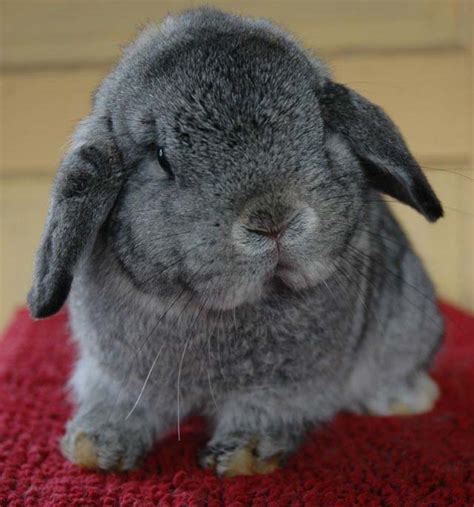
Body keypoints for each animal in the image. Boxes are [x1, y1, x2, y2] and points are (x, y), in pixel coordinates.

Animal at [29, 6, 444, 476]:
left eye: (321, 130)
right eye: (161, 157)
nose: (272, 220)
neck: (210, 309)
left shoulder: (285, 387)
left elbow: (261, 414)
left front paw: (241, 456)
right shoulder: (116, 376)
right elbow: (119, 407)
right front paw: (94, 449)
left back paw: (405, 399)